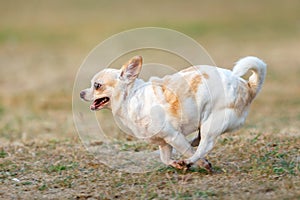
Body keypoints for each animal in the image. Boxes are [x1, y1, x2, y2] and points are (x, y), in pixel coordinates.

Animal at [80, 55, 268, 171]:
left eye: (97, 85)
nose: (81, 93)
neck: (131, 98)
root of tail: (248, 86)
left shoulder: (172, 135)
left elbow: (187, 151)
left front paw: (196, 163)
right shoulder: (164, 142)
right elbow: (165, 158)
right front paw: (176, 164)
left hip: (212, 121)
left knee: (205, 146)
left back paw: (193, 159)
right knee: (199, 141)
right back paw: (193, 143)